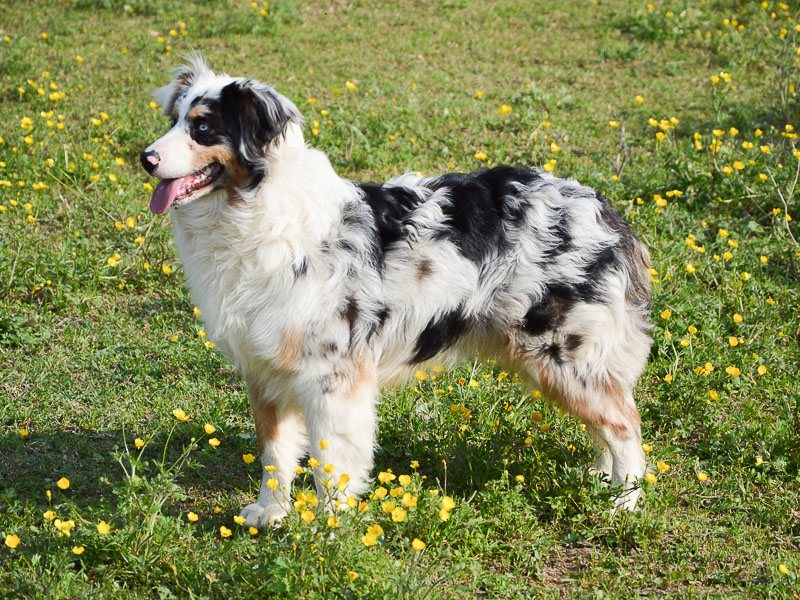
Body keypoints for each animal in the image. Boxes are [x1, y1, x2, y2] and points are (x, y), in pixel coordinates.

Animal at [141, 55, 652, 524]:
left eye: (203, 127)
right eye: (174, 120)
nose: (145, 159)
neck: (259, 213)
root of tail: (603, 208)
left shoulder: (332, 377)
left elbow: (330, 464)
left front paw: (327, 533)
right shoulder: (264, 369)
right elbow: (275, 455)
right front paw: (271, 514)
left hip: (565, 356)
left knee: (626, 424)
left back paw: (623, 502)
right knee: (610, 421)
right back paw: (601, 475)